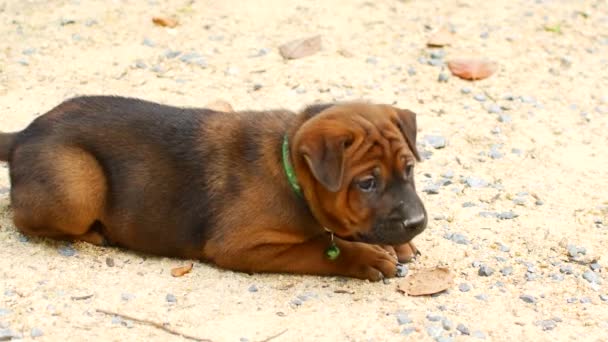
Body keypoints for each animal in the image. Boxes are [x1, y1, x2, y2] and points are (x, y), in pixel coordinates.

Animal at [0, 96, 428, 280]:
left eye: (409, 169)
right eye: (367, 183)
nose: (417, 222)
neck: (289, 170)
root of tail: (23, 135)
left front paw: (396, 244)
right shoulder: (243, 246)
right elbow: (320, 248)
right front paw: (366, 258)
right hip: (77, 186)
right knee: (24, 218)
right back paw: (95, 233)